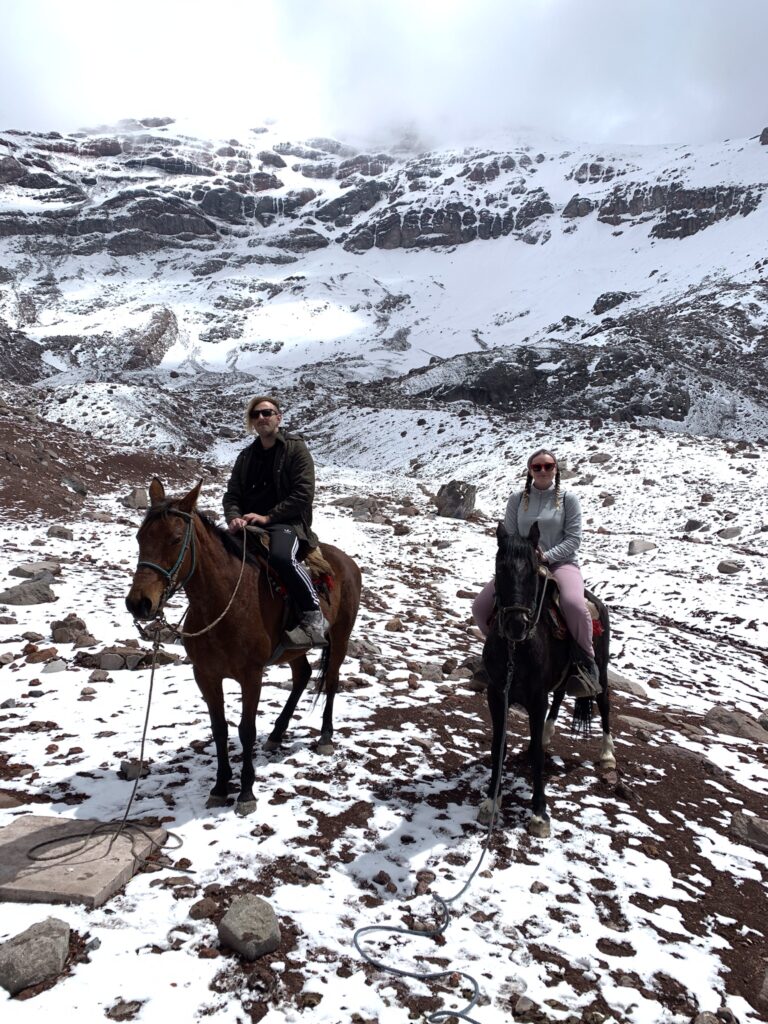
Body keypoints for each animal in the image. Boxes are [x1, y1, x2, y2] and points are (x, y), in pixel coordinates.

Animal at [125, 477, 364, 815]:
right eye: (140, 537)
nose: (139, 603)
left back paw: (326, 738)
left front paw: (246, 792)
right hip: (293, 649)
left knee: (331, 681)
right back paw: (277, 734)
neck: (223, 600)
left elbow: (246, 729)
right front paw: (220, 786)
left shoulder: (251, 676)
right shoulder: (206, 675)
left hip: (341, 637)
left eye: (175, 539)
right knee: (302, 675)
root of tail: (347, 561)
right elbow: (220, 729)